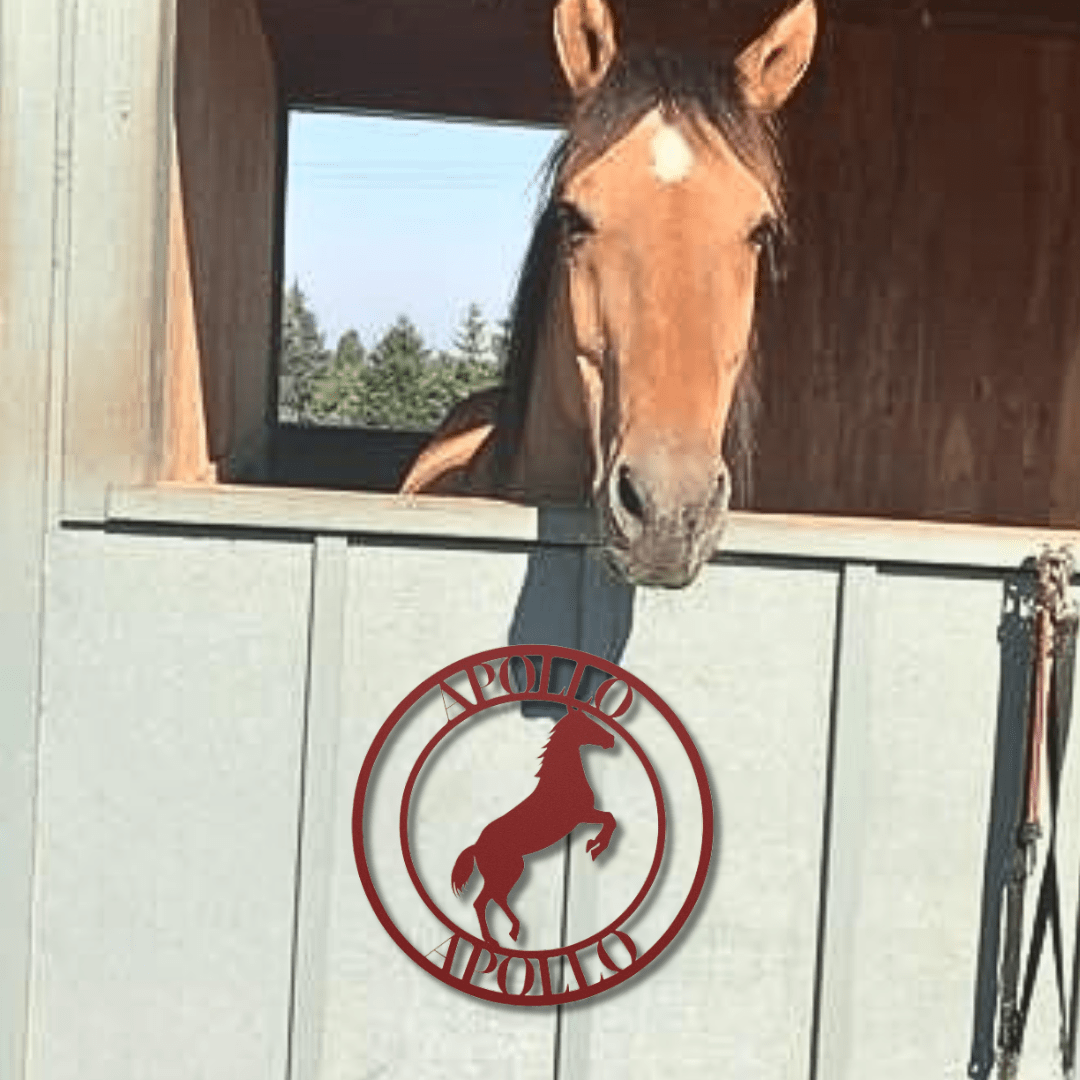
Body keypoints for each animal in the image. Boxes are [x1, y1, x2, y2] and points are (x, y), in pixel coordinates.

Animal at [449, 704, 617, 941]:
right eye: (586, 723)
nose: (611, 739)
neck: (563, 780)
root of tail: (476, 847)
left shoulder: (585, 815)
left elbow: (609, 819)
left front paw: (592, 846)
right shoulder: (582, 816)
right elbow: (609, 819)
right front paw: (594, 847)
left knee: (494, 899)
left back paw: (511, 931)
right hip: (509, 871)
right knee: (484, 901)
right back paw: (497, 938)